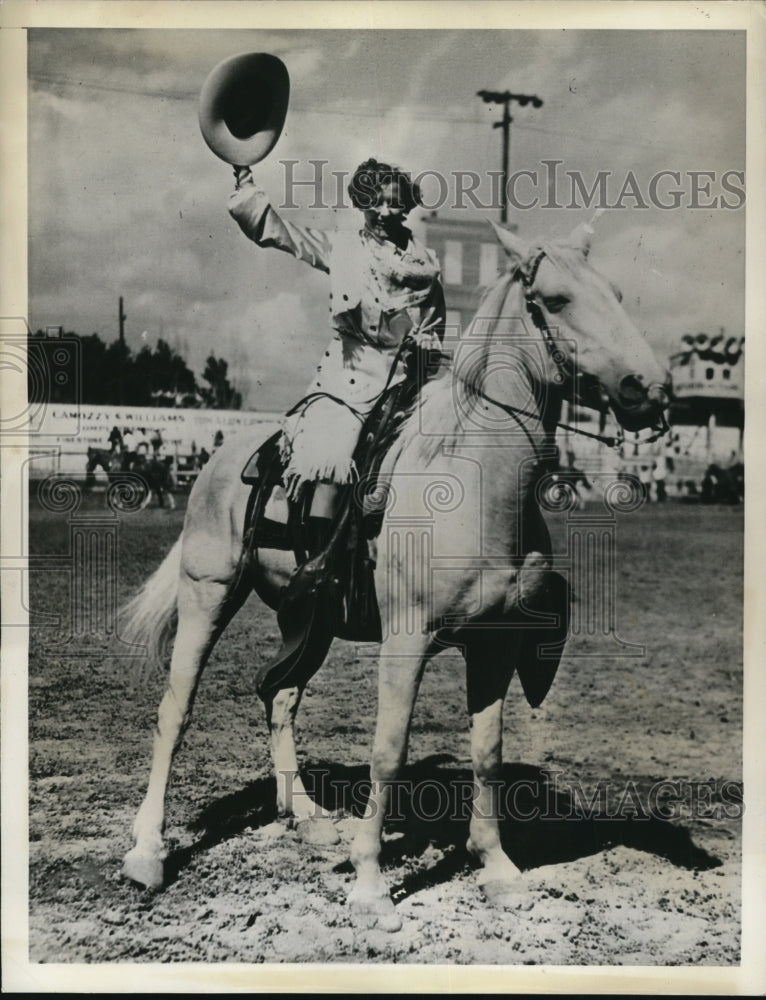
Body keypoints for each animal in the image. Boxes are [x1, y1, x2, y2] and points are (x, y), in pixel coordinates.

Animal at [121, 219, 672, 928]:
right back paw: (147, 852)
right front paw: (368, 881)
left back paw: (304, 814)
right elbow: (388, 752)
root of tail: (220, 458)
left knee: (279, 694)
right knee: (175, 711)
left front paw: (497, 868)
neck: (475, 481)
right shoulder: (405, 643)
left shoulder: (494, 646)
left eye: (619, 295)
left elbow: (487, 753)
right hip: (208, 596)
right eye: (555, 299)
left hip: (309, 623)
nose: (649, 391)